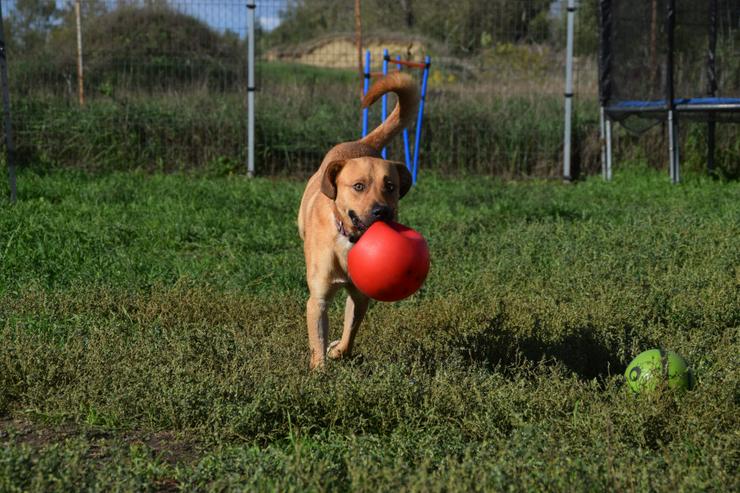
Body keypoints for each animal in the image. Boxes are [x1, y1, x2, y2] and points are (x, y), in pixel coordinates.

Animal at [298, 71, 420, 368]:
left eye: (390, 186)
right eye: (359, 186)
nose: (381, 212)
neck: (349, 238)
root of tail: (362, 144)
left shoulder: (361, 296)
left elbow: (349, 332)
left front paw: (338, 351)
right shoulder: (318, 300)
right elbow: (317, 342)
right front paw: (320, 369)